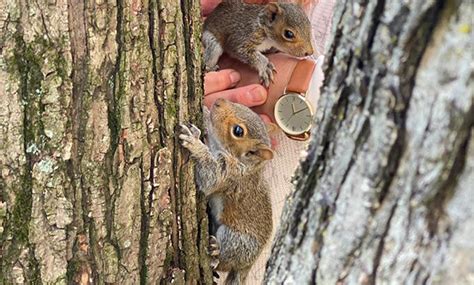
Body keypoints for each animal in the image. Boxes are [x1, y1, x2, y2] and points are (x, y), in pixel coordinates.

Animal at [179, 97, 274, 282]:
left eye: (238, 131)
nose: (218, 101)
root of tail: (248, 265)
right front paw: (205, 112)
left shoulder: (229, 175)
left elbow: (209, 177)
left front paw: (195, 143)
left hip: (237, 240)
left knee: (226, 259)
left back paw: (216, 252)